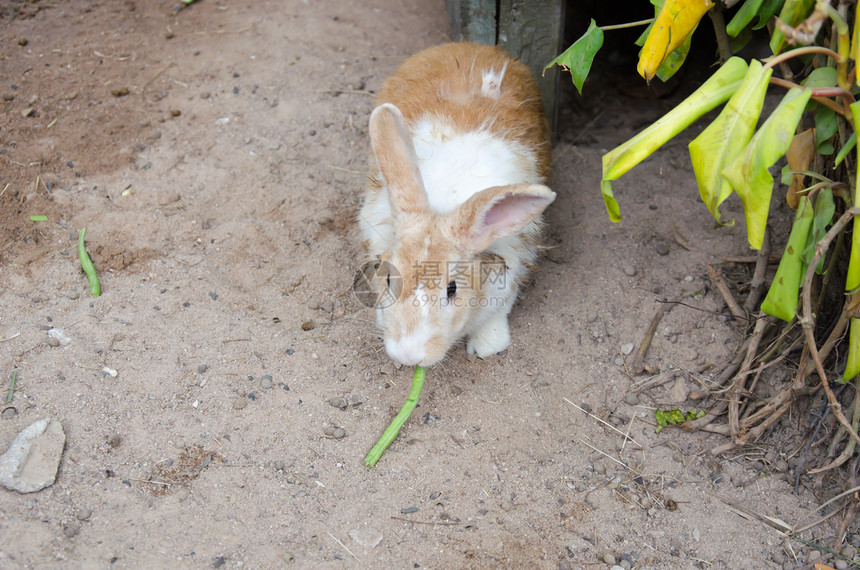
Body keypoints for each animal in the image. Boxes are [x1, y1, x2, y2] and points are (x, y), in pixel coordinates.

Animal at [358, 42, 556, 366]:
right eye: (389, 278)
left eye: (452, 290)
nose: (409, 355)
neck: (444, 205)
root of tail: (475, 46)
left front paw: (488, 345)